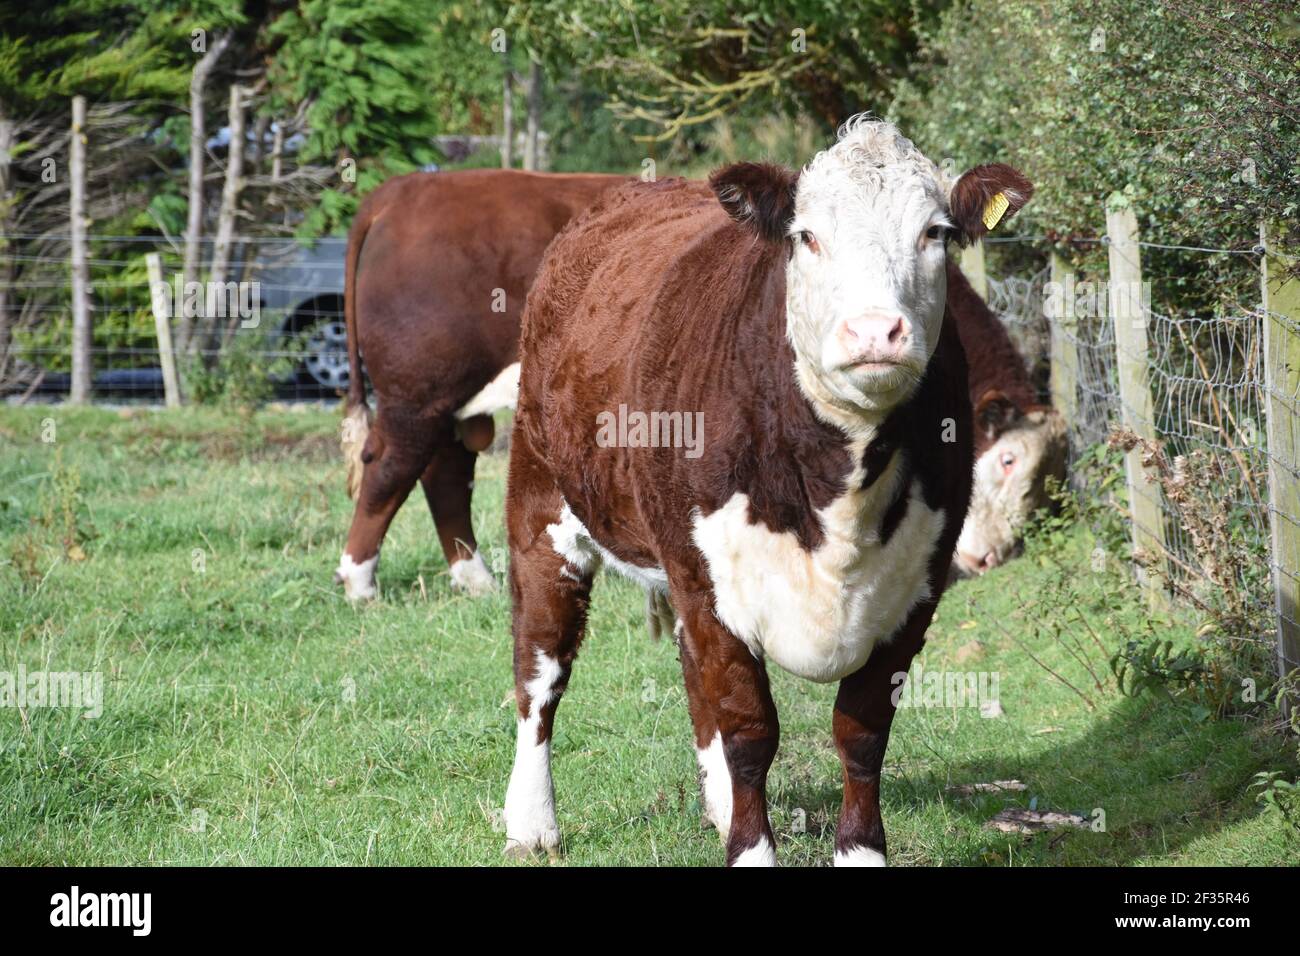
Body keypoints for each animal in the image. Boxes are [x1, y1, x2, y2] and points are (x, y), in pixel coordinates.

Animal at [334, 169, 628, 600]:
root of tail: (403, 188)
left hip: (449, 400)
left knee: (445, 473)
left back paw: (477, 580)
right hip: (417, 393)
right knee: (390, 469)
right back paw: (360, 584)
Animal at [502, 117, 1032, 866]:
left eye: (935, 232)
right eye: (806, 236)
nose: (876, 331)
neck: (838, 483)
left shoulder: (917, 587)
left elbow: (861, 732)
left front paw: (858, 853)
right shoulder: (710, 583)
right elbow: (751, 730)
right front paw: (752, 851)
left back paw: (721, 807)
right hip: (543, 505)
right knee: (541, 668)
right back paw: (531, 820)